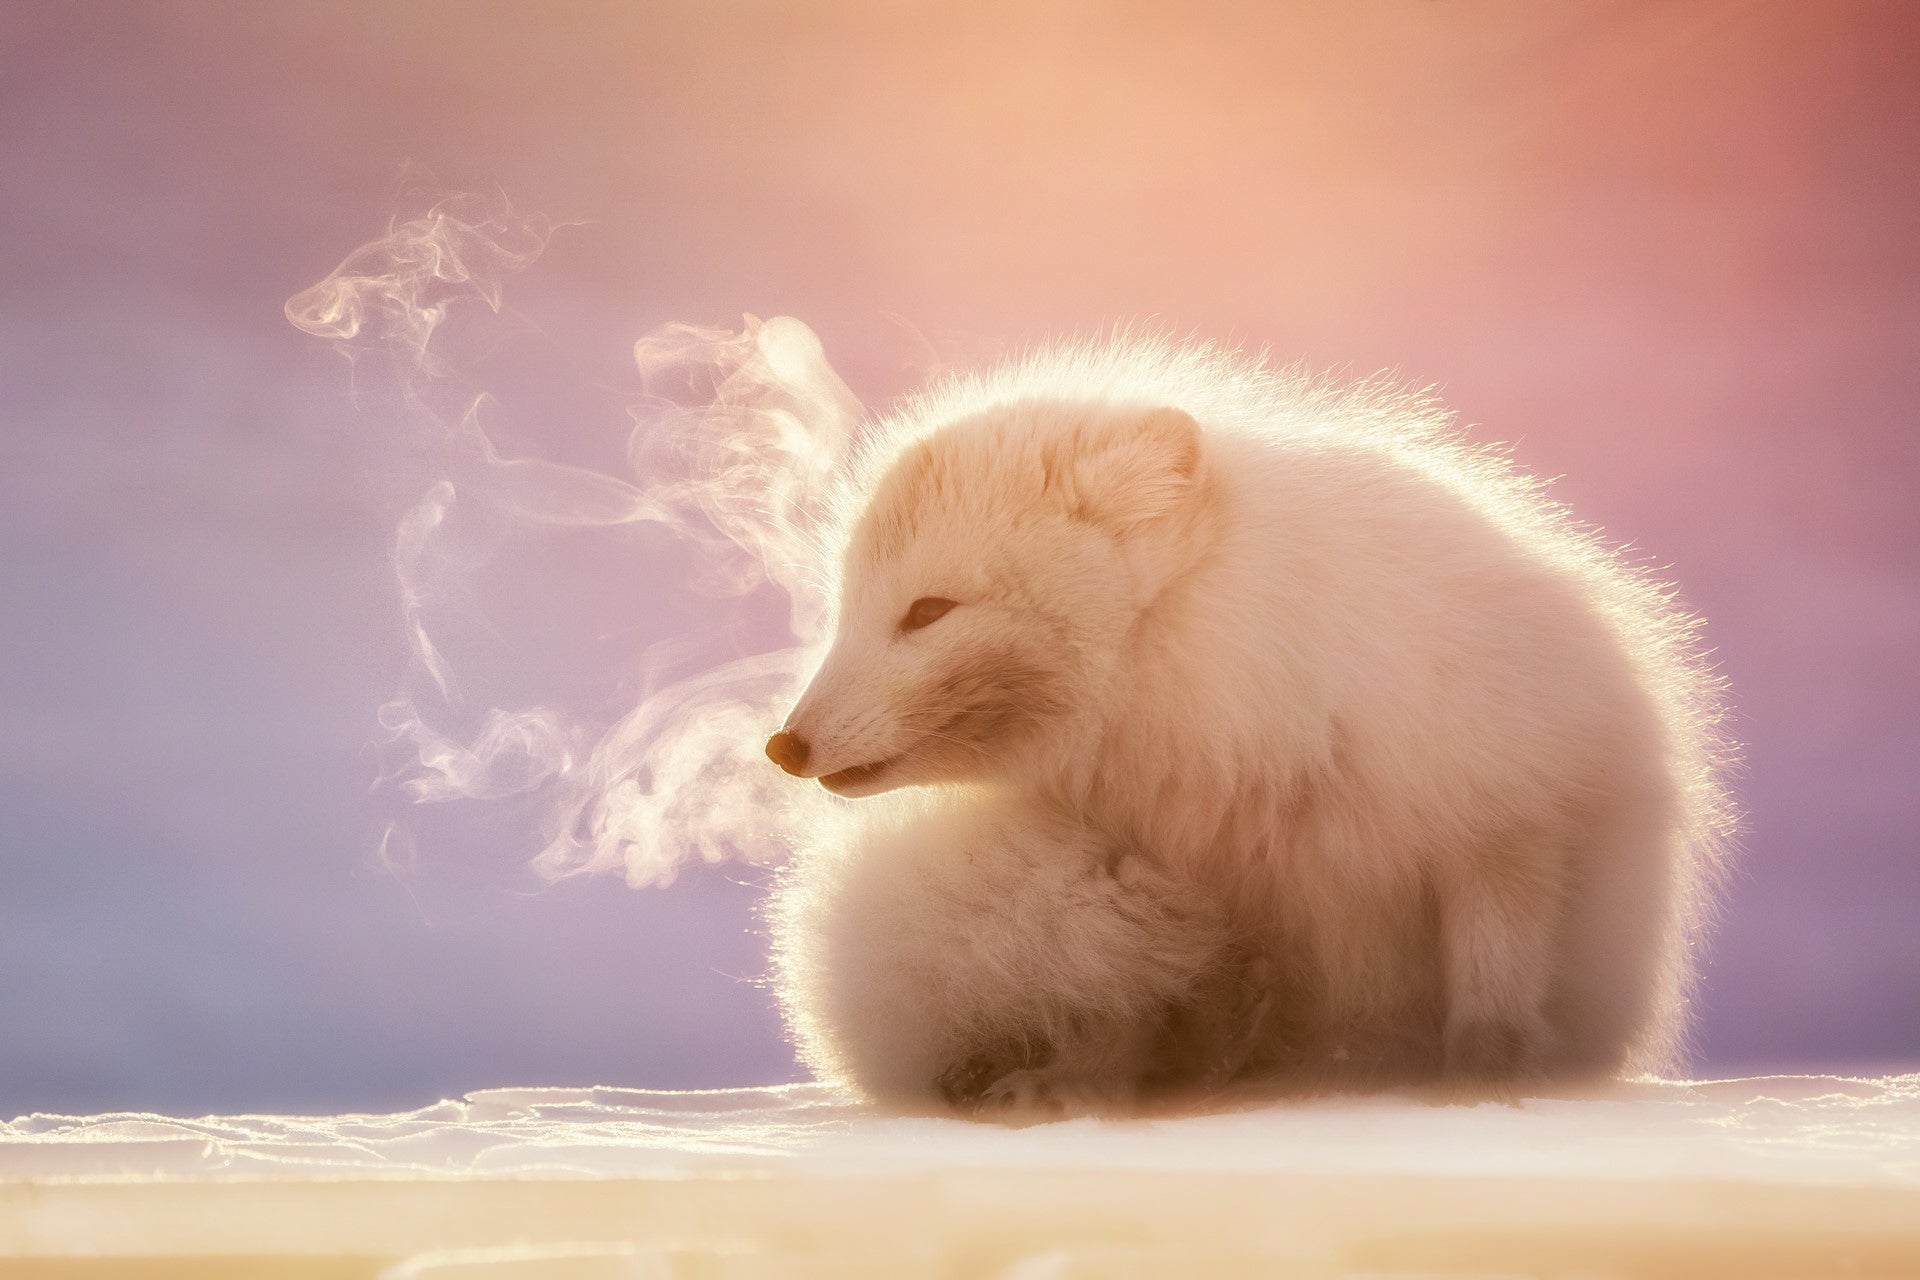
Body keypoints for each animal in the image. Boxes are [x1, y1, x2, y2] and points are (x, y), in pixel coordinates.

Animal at [764, 335, 1743, 1113]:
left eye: (928, 612)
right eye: (846, 608)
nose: (783, 744)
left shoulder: (1504, 811)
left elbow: (1492, 973)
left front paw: (1482, 1079)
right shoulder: (1184, 877)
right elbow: (1133, 1016)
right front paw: (1085, 1083)